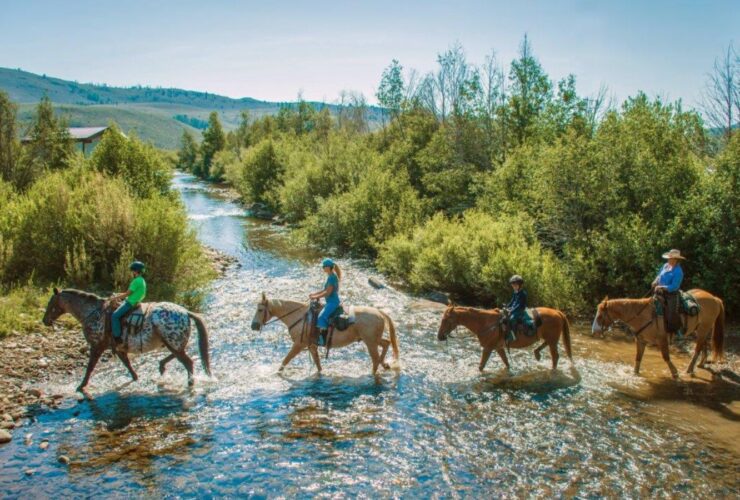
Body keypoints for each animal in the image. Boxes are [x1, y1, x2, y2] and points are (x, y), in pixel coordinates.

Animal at [42, 290, 211, 390]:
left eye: (51, 303)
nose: (45, 321)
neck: (92, 313)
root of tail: (186, 312)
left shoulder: (97, 347)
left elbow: (90, 367)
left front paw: (81, 386)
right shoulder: (119, 348)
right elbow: (127, 364)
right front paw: (136, 378)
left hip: (172, 342)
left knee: (187, 362)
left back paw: (190, 383)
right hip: (173, 343)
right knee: (178, 356)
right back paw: (162, 366)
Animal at [249, 292, 398, 376]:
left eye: (260, 310)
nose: (253, 326)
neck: (299, 316)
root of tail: (380, 313)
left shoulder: (298, 345)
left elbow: (286, 359)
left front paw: (277, 373)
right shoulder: (311, 346)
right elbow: (318, 363)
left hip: (370, 342)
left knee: (375, 359)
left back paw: (373, 373)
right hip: (372, 340)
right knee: (386, 343)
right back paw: (385, 364)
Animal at [436, 304, 576, 372]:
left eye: (446, 320)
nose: (440, 336)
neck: (486, 323)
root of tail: (558, 312)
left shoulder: (488, 348)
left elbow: (481, 366)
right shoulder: (499, 348)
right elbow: (506, 363)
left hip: (553, 340)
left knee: (555, 356)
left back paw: (552, 371)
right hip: (551, 339)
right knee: (546, 345)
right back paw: (537, 353)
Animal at [592, 290, 724, 378]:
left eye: (600, 316)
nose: (594, 331)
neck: (641, 315)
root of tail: (715, 298)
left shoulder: (662, 339)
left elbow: (666, 357)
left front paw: (675, 373)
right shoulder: (641, 341)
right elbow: (638, 358)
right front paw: (635, 374)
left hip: (703, 329)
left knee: (697, 348)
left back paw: (689, 369)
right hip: (702, 329)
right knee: (704, 345)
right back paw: (700, 364)